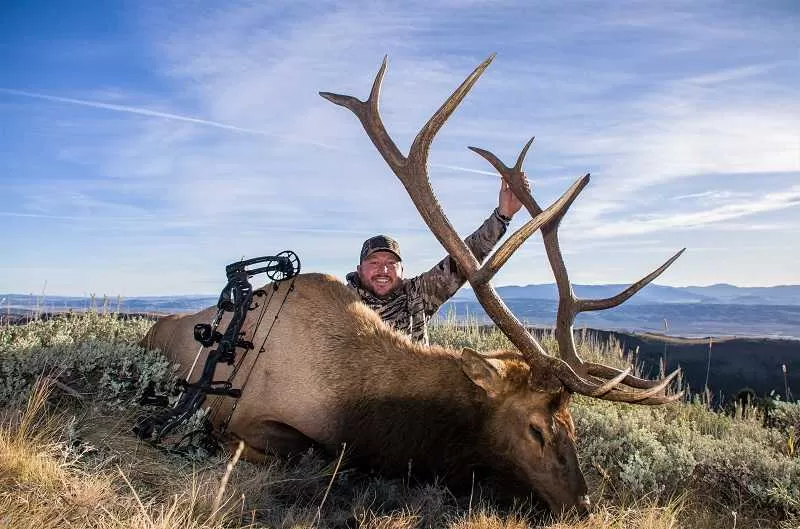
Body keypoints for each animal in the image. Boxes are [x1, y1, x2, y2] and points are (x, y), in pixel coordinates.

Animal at [141, 54, 684, 516]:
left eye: (572, 425)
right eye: (536, 429)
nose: (583, 505)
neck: (367, 413)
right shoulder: (250, 418)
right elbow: (313, 454)